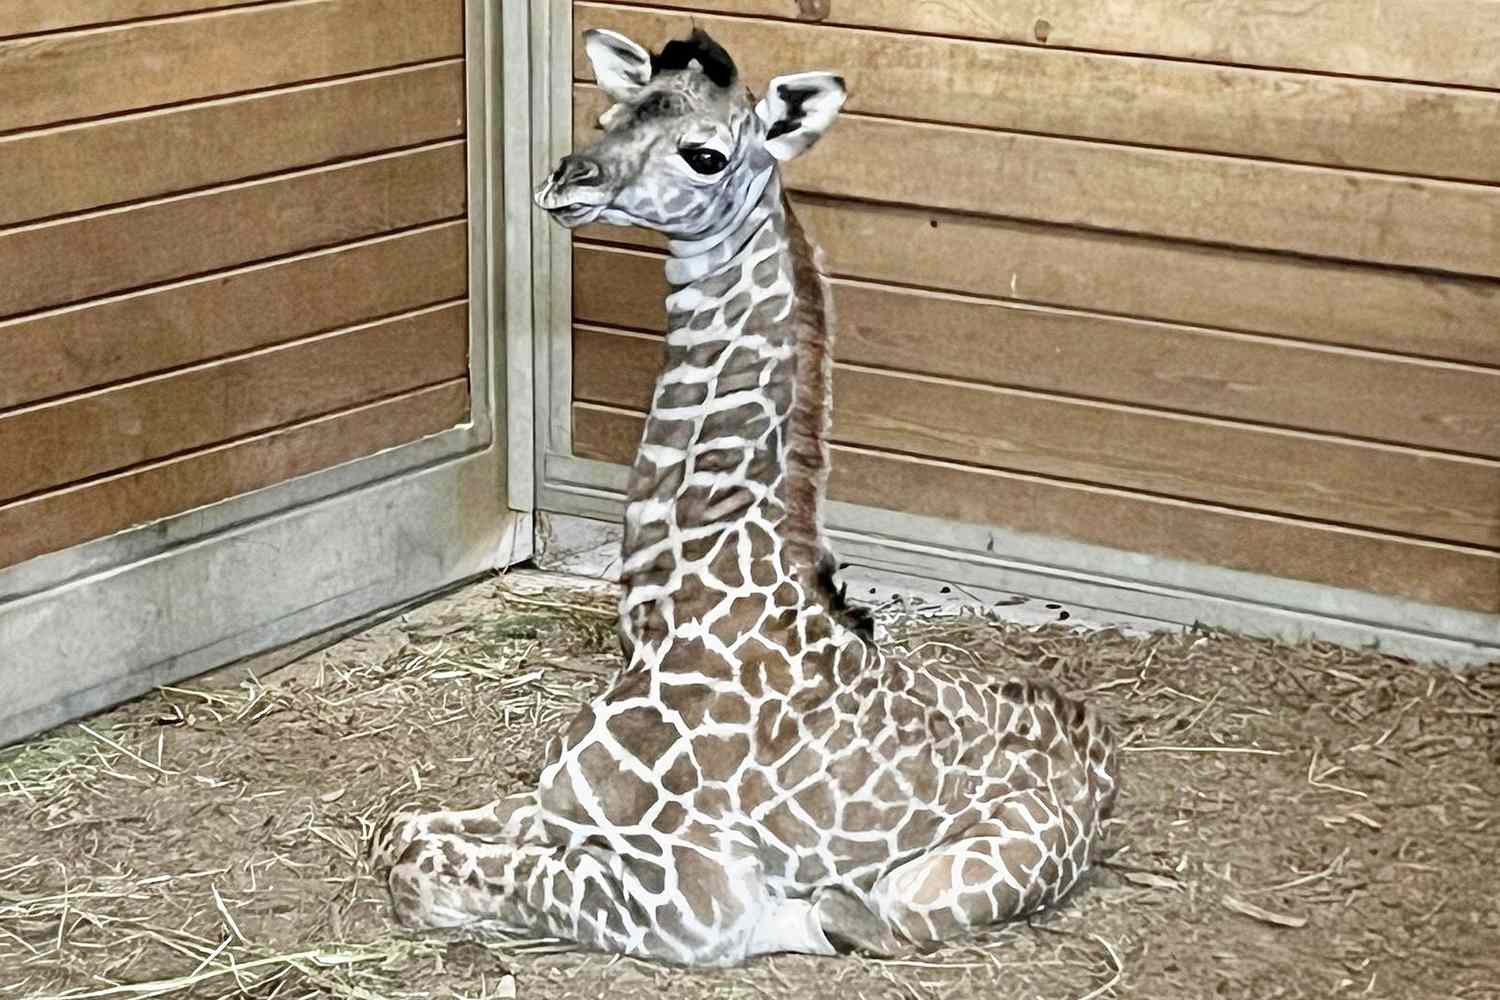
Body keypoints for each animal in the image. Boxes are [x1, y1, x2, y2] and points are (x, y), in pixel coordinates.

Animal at [369, 27, 1122, 965]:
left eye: (706, 154)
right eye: (611, 114)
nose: (567, 179)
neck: (676, 609)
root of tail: (1103, 771)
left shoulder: (695, 899)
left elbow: (428, 870)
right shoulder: (557, 806)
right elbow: (401, 831)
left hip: (929, 890)